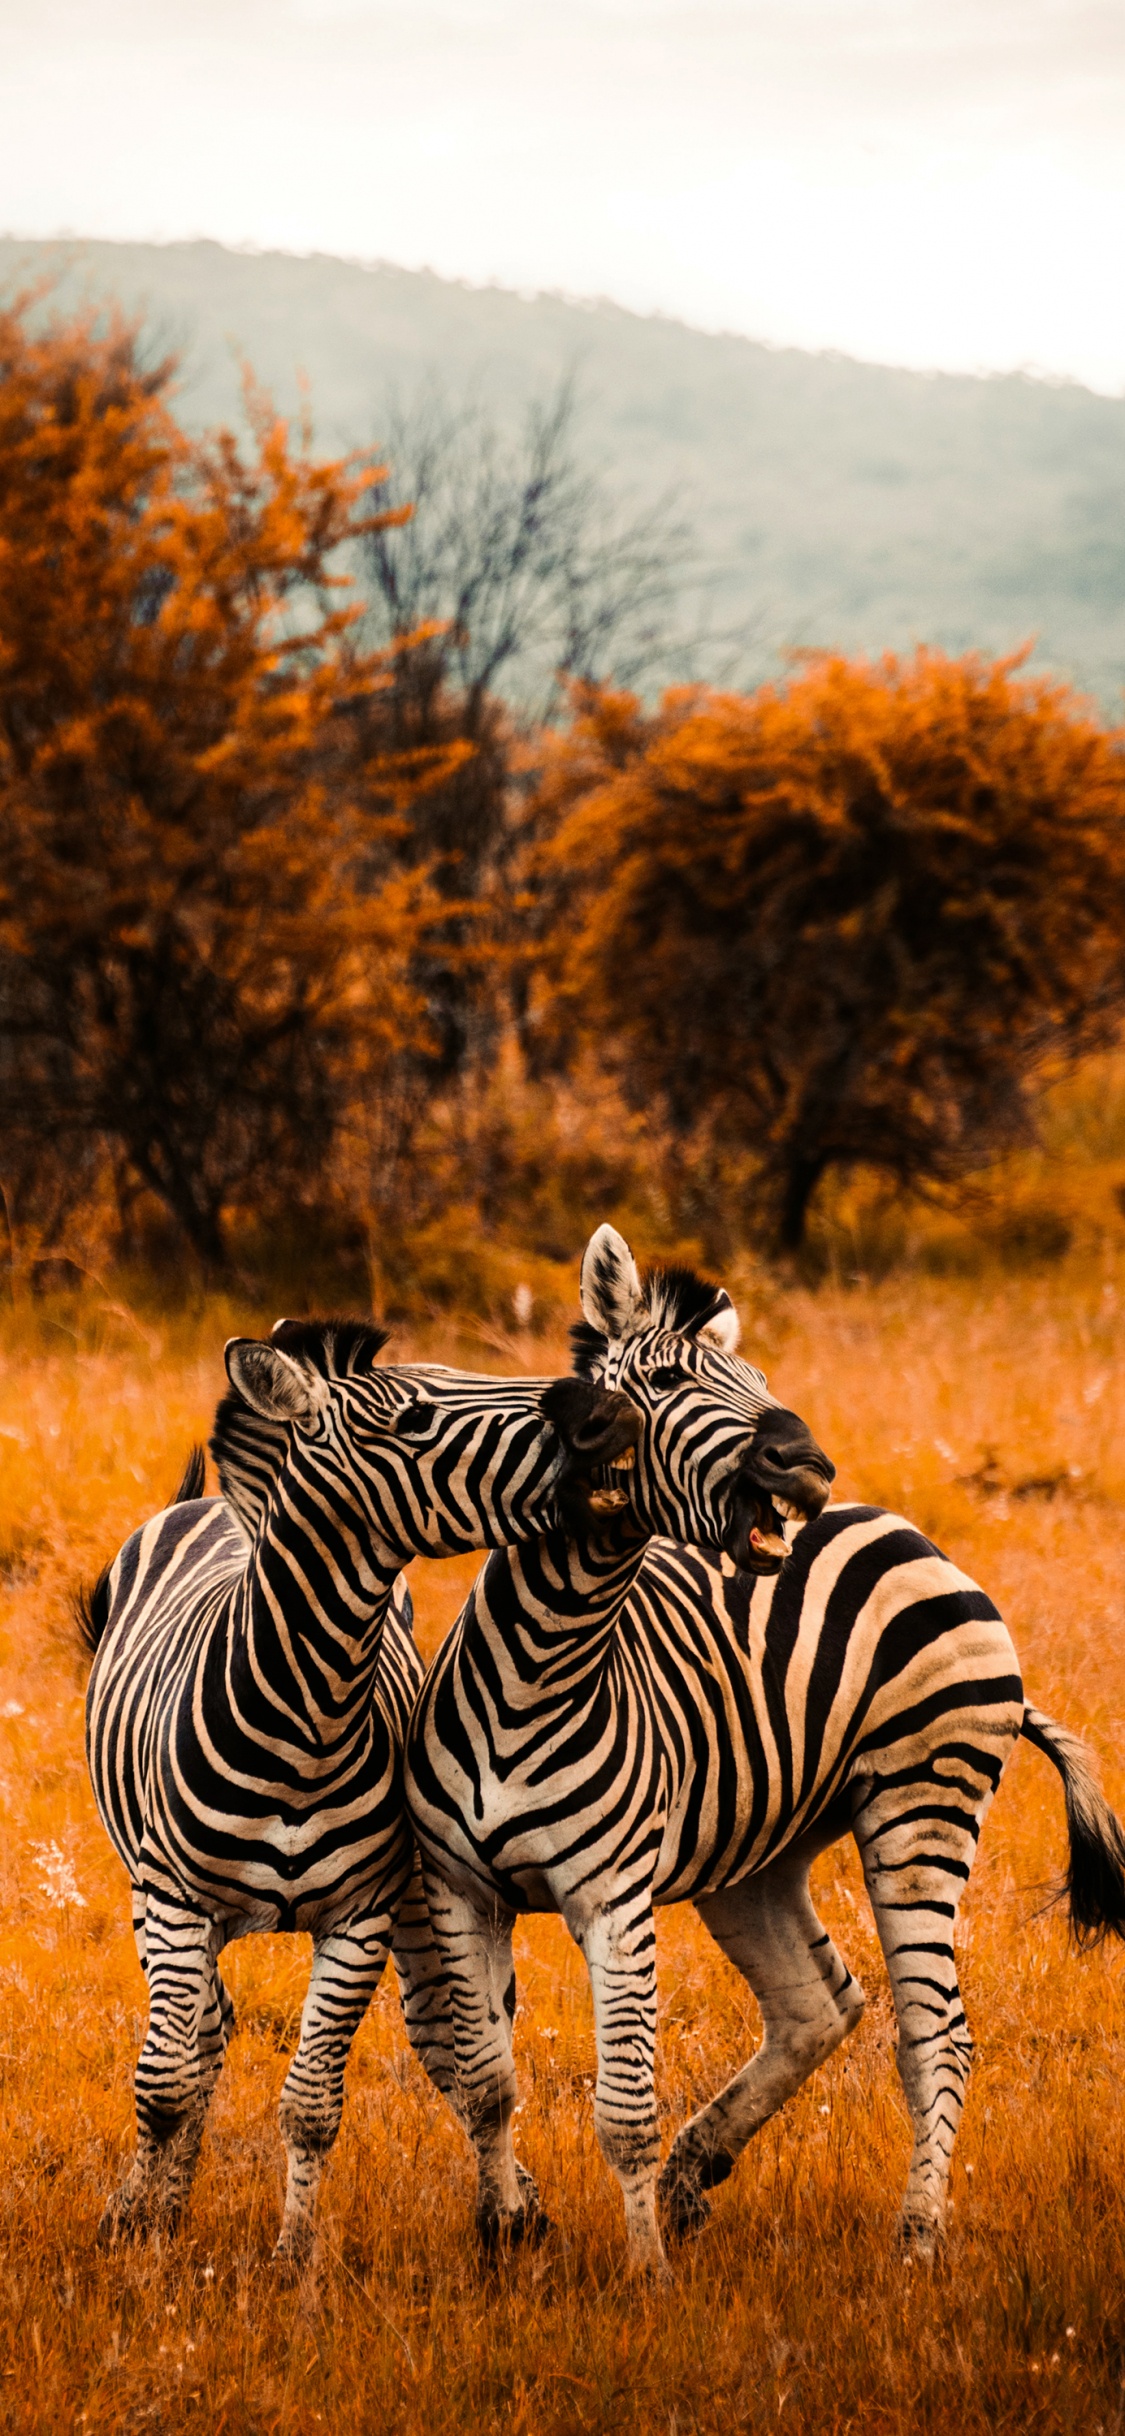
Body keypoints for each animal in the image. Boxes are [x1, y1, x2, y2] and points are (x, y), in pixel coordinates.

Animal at [79, 1313, 638, 2262]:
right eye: (413, 1419)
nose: (602, 1414)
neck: (306, 1710)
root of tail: (208, 1503)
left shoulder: (361, 1914)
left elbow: (311, 2105)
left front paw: (294, 2258)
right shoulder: (176, 1902)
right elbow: (162, 2087)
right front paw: (143, 2242)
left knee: (442, 2036)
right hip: (148, 1892)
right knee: (200, 2036)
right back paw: (153, 2204)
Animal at [406, 1223, 1125, 2278]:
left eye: (756, 1377)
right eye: (664, 1378)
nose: (806, 1462)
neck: (540, 1667)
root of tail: (911, 1534)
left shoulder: (613, 1898)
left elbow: (623, 2109)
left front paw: (644, 2277)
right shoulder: (460, 1888)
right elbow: (486, 2082)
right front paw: (503, 2240)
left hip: (920, 1805)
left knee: (935, 2037)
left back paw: (916, 2237)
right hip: (757, 1852)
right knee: (816, 2004)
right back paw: (694, 2175)